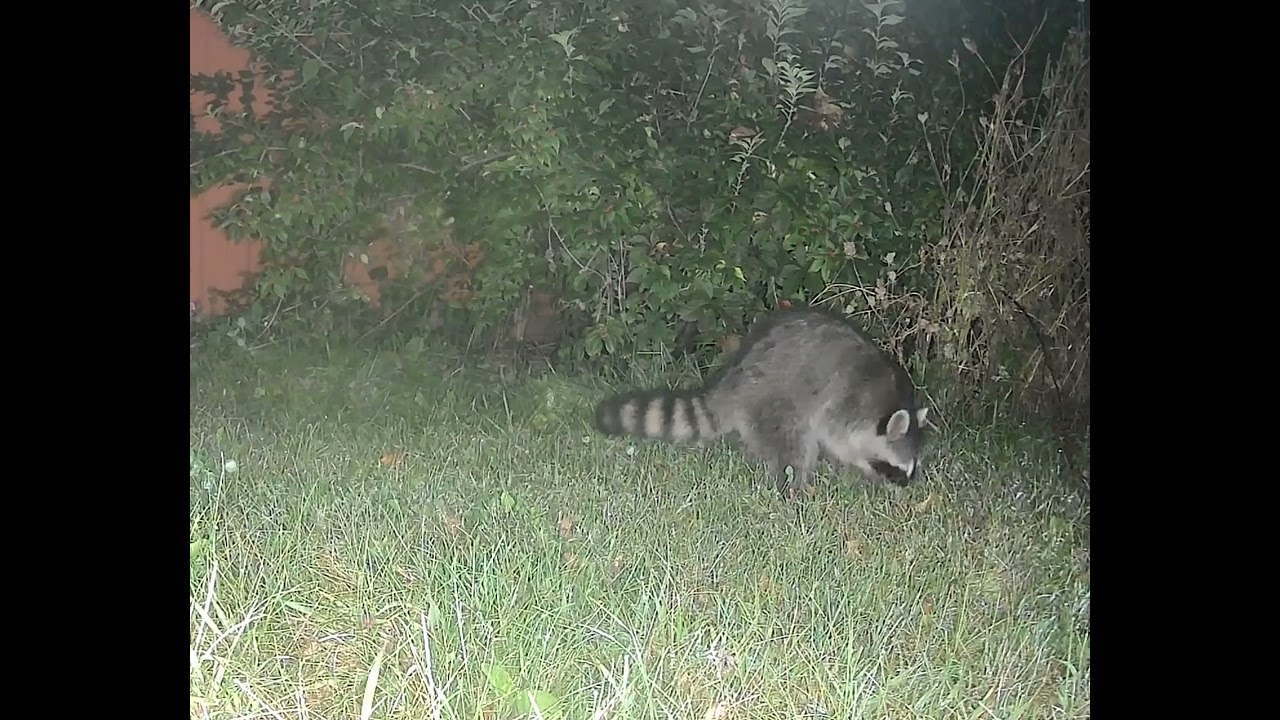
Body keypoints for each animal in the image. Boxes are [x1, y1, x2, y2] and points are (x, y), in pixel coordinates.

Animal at [593, 306, 930, 497]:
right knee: (796, 448)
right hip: (775, 401)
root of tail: (733, 382)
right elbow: (839, 440)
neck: (885, 403)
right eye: (896, 468)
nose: (906, 487)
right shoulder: (846, 405)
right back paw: (793, 488)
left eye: (911, 469)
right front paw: (866, 470)